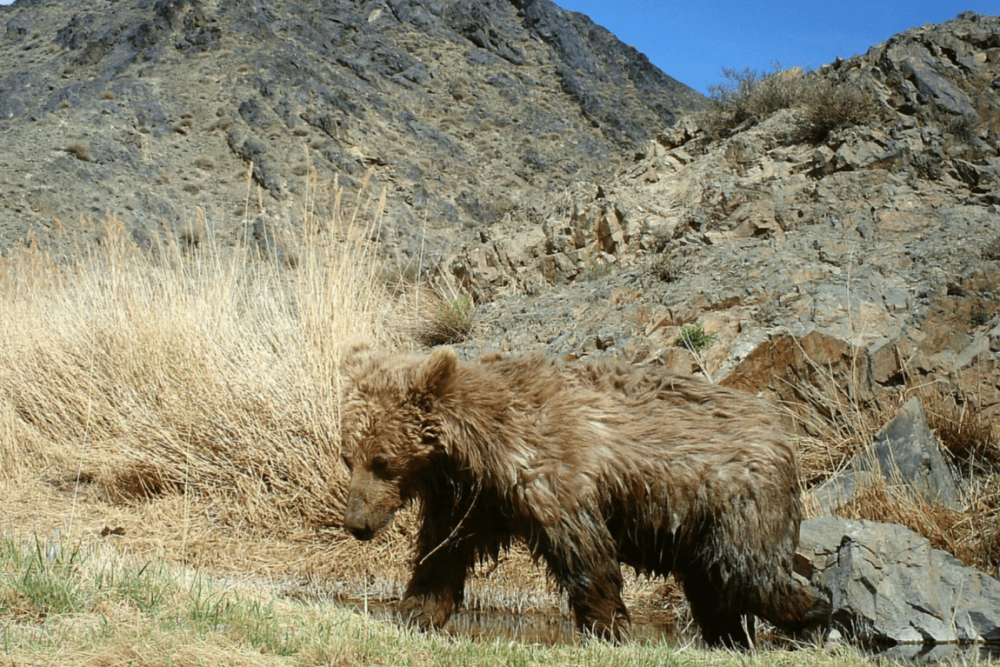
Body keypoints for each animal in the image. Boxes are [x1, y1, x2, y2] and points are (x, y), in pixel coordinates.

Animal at [336, 348, 828, 648]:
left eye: (382, 461)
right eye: (348, 458)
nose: (357, 523)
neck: (478, 452)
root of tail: (779, 427)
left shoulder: (555, 476)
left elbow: (585, 555)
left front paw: (608, 628)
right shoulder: (472, 502)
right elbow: (441, 558)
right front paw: (414, 612)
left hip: (737, 498)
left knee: (751, 572)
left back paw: (815, 612)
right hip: (702, 526)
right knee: (715, 586)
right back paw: (730, 636)